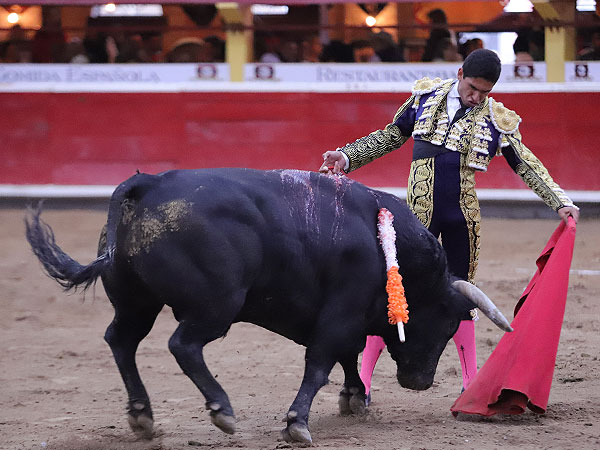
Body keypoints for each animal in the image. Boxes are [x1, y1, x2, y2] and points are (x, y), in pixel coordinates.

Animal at [24, 168, 510, 442]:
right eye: (447, 322)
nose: (420, 382)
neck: (387, 245)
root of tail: (147, 185)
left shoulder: (343, 318)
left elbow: (346, 356)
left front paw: (354, 398)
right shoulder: (341, 312)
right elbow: (320, 362)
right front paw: (297, 423)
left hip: (136, 300)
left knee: (121, 341)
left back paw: (143, 417)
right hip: (216, 305)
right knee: (183, 346)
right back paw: (222, 411)